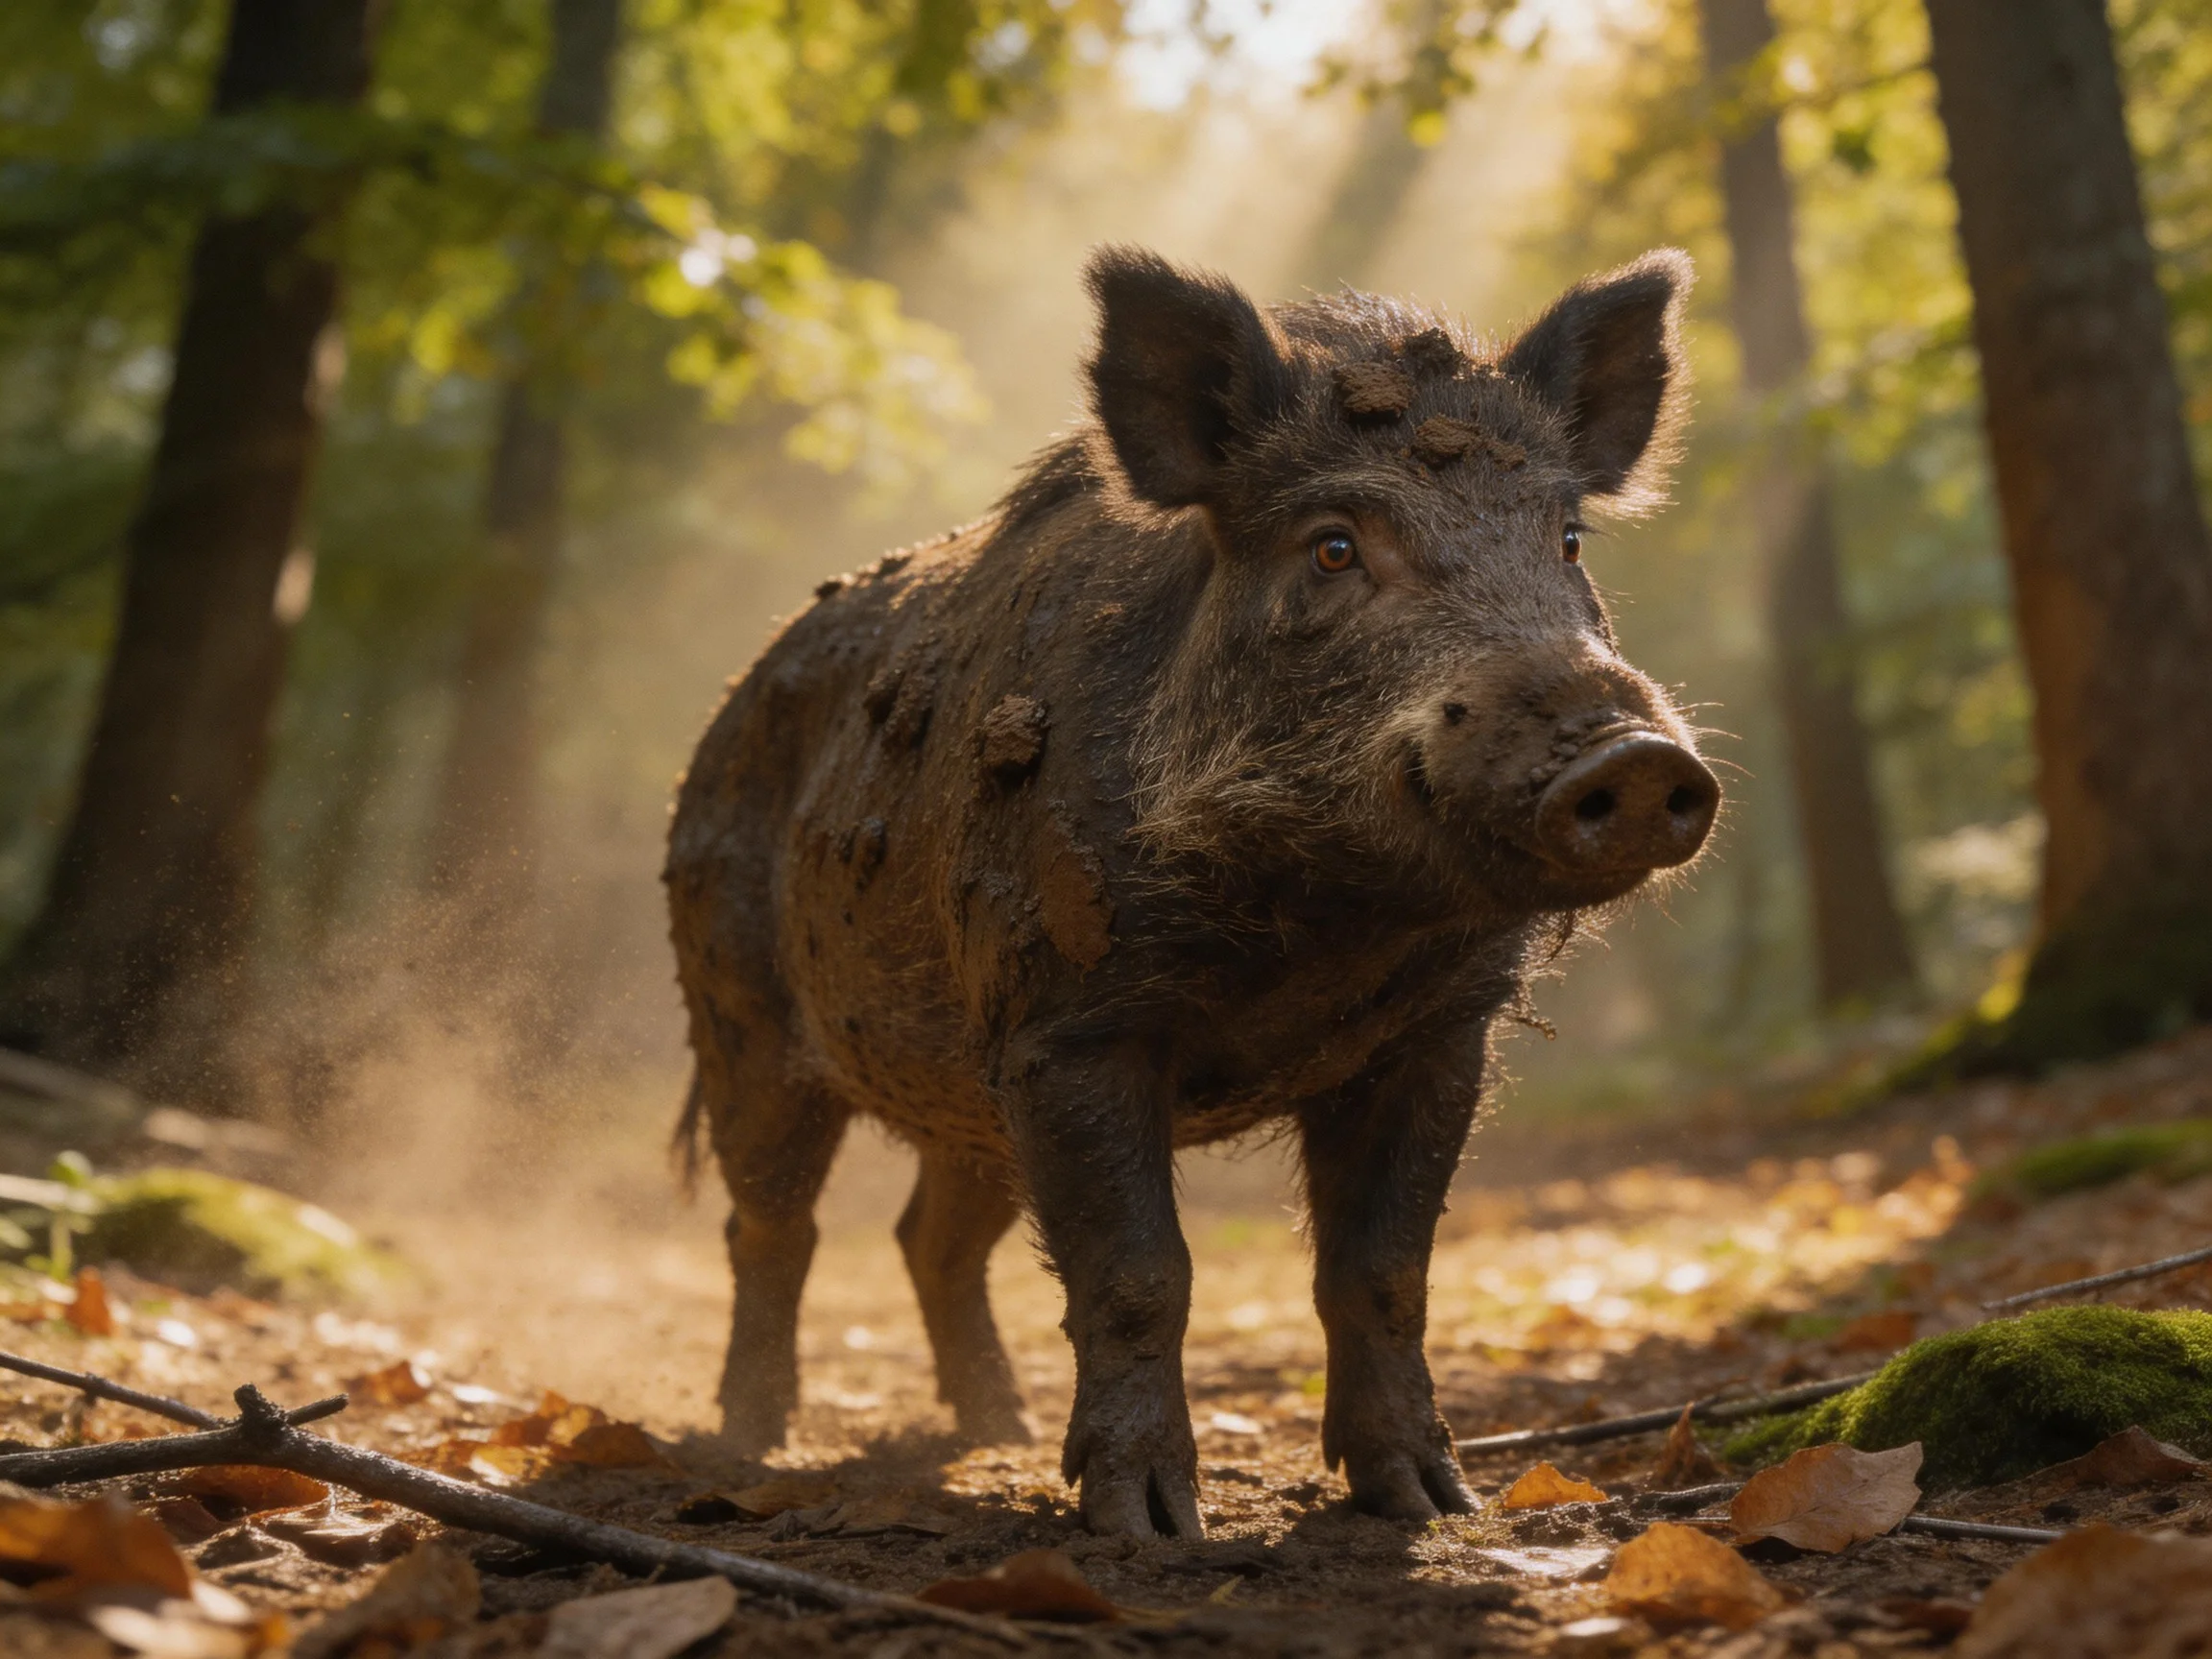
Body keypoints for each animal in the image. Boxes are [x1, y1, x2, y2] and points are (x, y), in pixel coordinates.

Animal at [665, 246, 1718, 1537]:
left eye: (1567, 540)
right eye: (1333, 547)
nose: (1637, 757)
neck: (1324, 921)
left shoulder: (1439, 1033)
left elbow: (1385, 1269)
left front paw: (1431, 1506)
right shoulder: (1066, 1021)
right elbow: (1138, 1272)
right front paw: (1152, 1526)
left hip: (966, 1090)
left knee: (930, 1239)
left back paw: (996, 1434)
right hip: (742, 1015)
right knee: (771, 1223)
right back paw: (749, 1443)